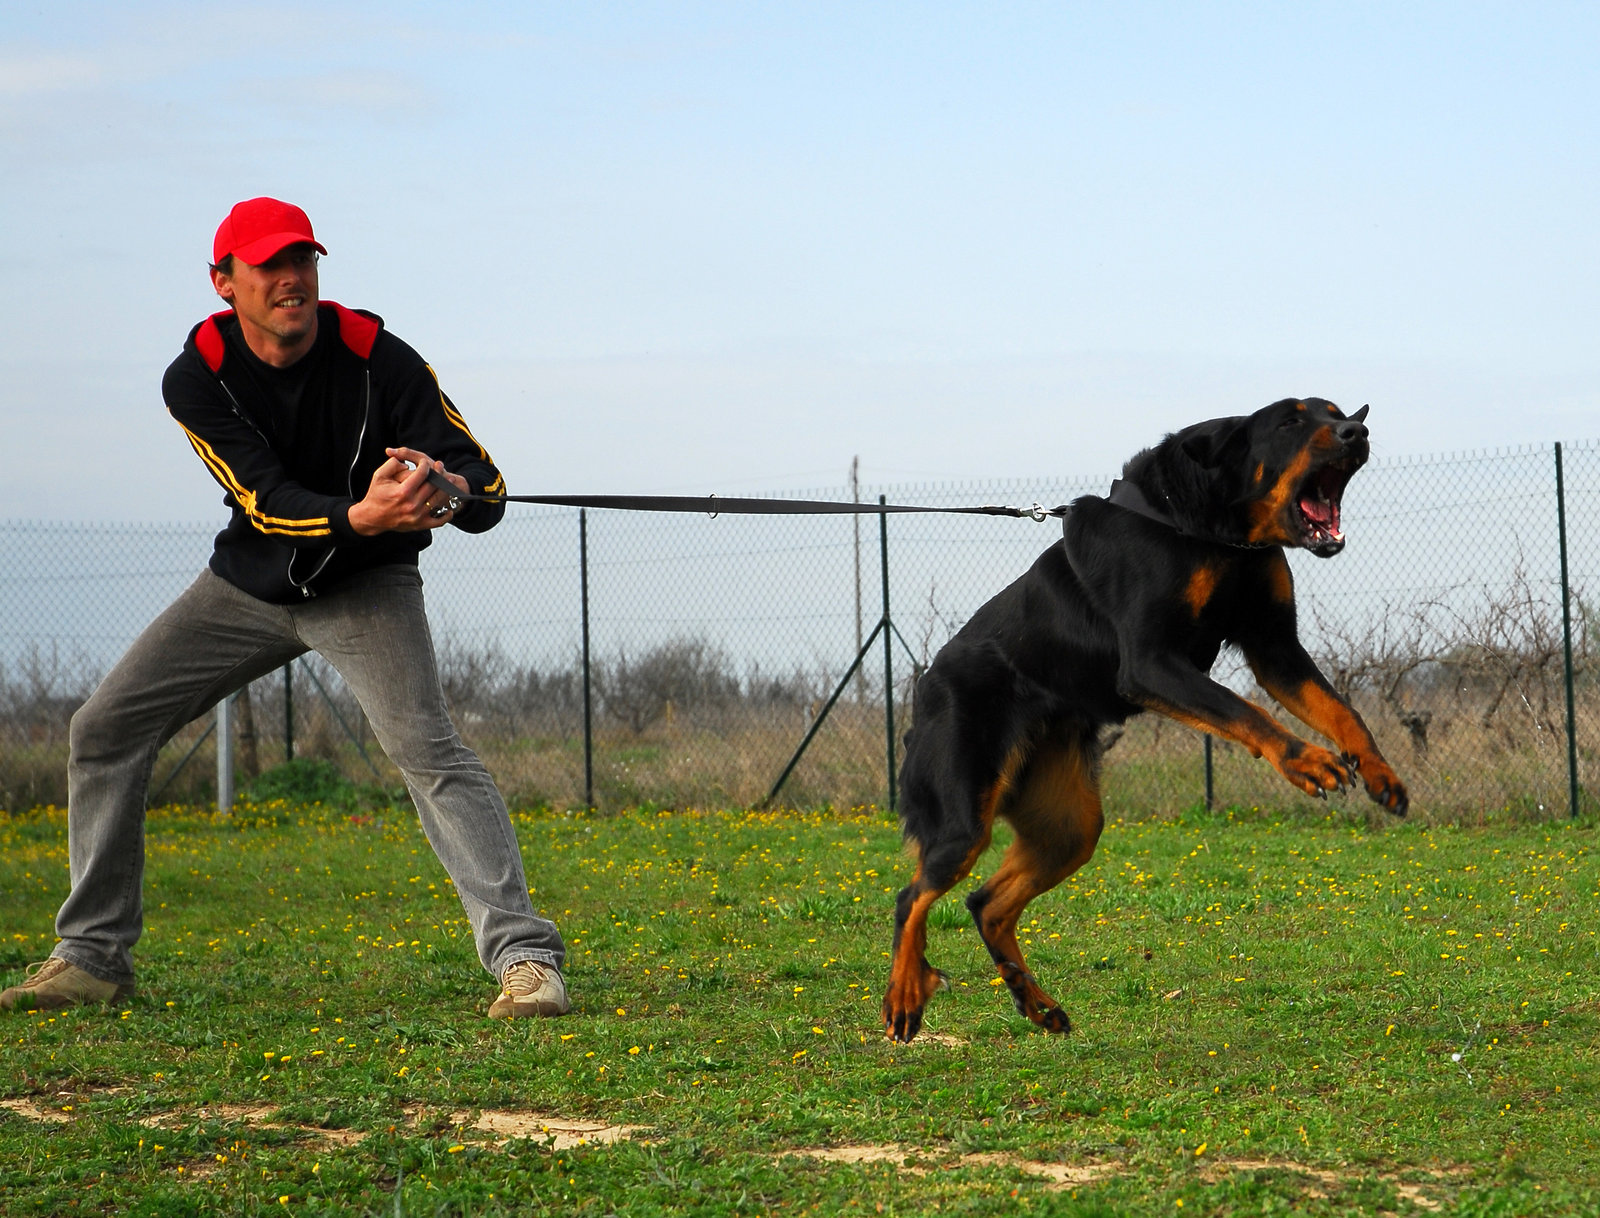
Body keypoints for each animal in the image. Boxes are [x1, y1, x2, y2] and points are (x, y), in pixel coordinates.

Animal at [889, 393, 1414, 1043]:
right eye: (1291, 421)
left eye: (1337, 411)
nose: (1355, 432)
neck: (1214, 535)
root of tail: (923, 687)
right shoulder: (1151, 662)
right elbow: (1244, 710)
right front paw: (1308, 763)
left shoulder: (1275, 650)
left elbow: (1343, 712)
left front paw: (1379, 772)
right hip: (963, 814)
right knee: (912, 896)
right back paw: (905, 994)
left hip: (1070, 826)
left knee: (984, 903)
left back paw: (1035, 1002)